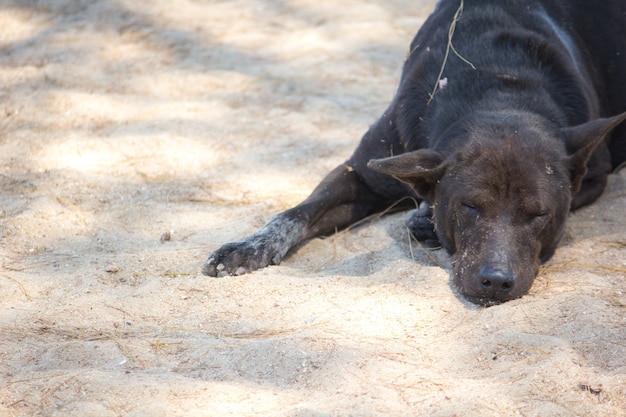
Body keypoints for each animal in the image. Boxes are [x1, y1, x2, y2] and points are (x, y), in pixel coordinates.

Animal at [202, 0, 620, 306]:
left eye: (539, 215)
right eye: (469, 206)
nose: (496, 282)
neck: (498, 83)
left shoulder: (595, 174)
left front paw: (426, 220)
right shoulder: (362, 173)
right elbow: (295, 214)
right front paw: (247, 247)